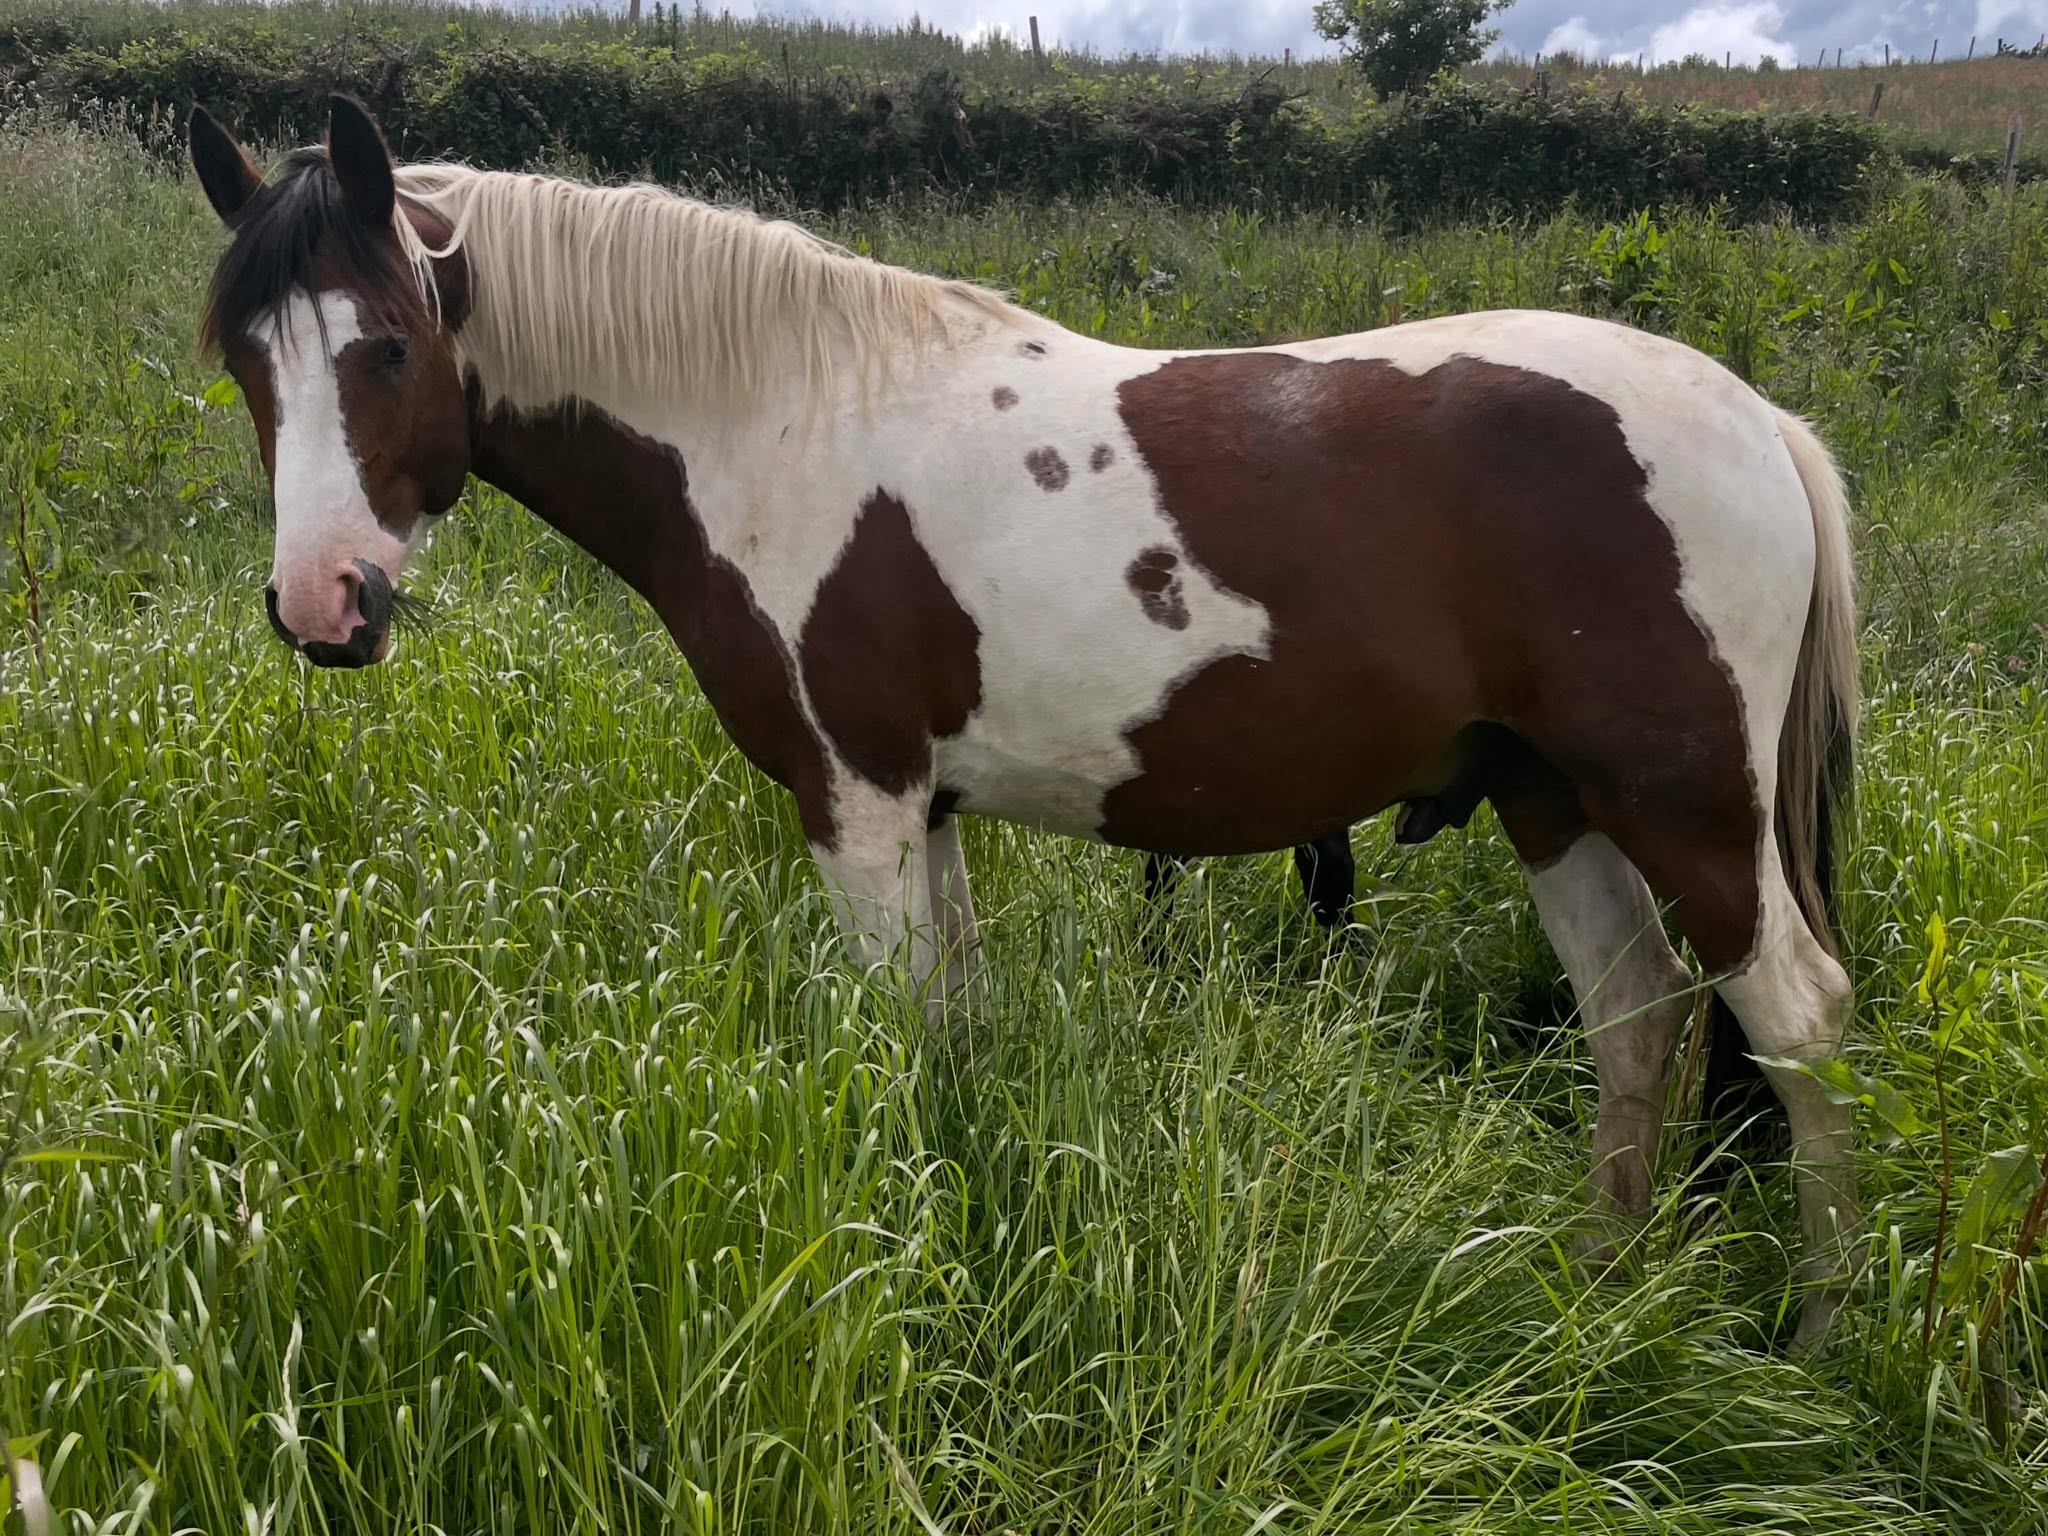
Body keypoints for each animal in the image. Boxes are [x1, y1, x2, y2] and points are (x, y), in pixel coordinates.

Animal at [187, 98, 1862, 1344]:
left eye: (388, 346)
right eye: (246, 363)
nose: (323, 605)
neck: (777, 422)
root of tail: (1755, 420)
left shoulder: (855, 803)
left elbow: (885, 1046)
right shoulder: (925, 811)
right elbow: (951, 1040)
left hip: (1687, 809)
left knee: (1800, 1027)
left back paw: (1825, 1332)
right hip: (1548, 794)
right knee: (1636, 1014)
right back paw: (1599, 1288)